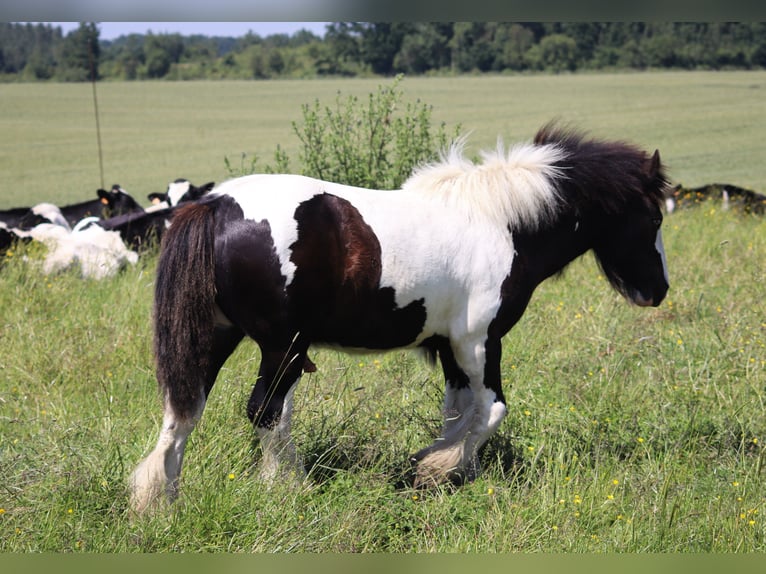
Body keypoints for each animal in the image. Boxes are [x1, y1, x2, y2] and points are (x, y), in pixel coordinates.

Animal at [130, 125, 672, 512]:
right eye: (654, 217)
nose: (659, 290)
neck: (499, 223)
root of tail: (216, 206)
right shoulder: (480, 342)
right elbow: (492, 410)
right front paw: (436, 469)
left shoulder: (449, 347)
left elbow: (459, 413)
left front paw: (458, 473)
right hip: (284, 346)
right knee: (265, 411)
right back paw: (288, 488)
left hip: (217, 337)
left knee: (184, 410)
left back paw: (161, 500)